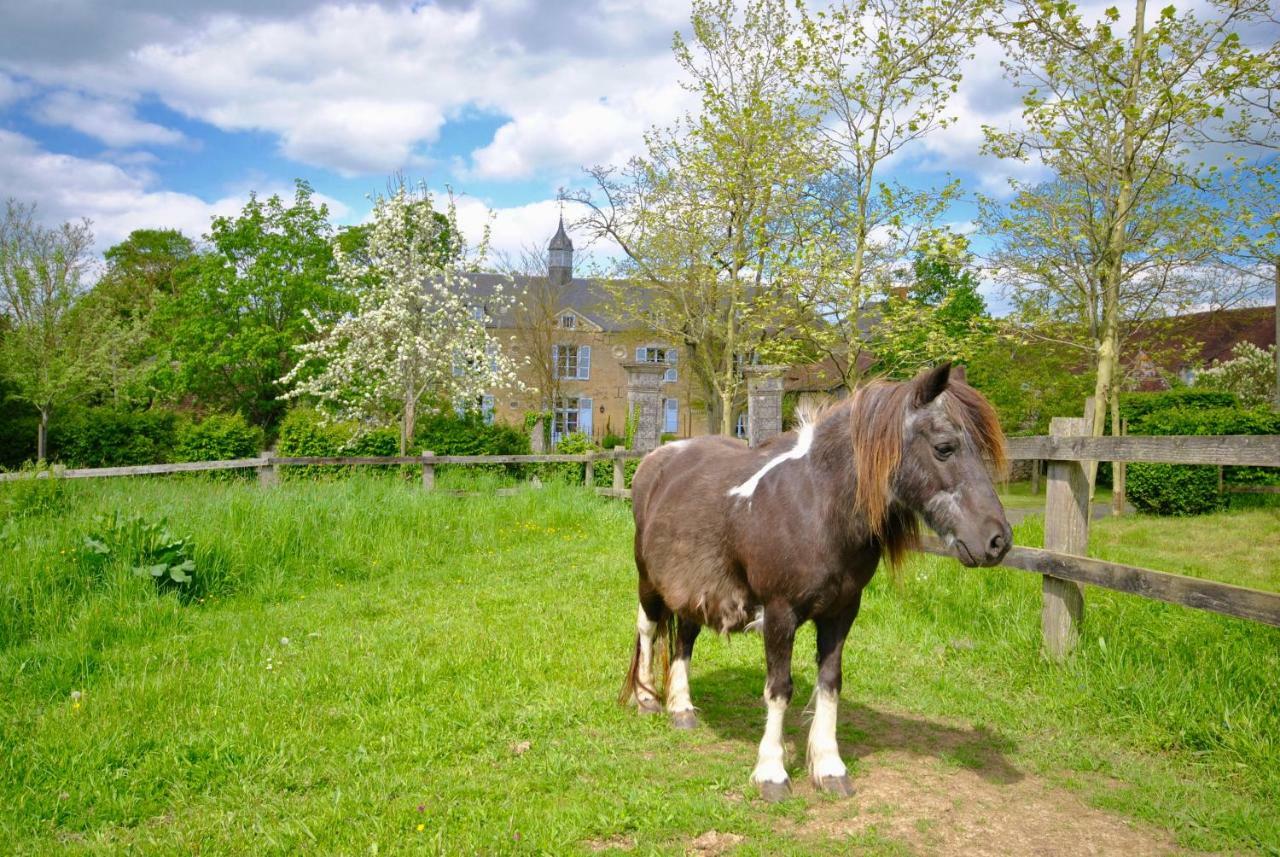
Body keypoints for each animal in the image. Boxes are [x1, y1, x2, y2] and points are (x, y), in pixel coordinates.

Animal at [619, 365, 1008, 803]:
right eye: (945, 447)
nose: (998, 541)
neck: (817, 505)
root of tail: (655, 459)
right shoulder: (779, 613)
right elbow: (779, 688)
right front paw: (771, 773)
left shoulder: (842, 612)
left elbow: (830, 684)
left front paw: (828, 766)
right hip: (649, 580)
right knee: (648, 628)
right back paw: (647, 699)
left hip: (698, 586)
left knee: (685, 637)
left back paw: (682, 709)